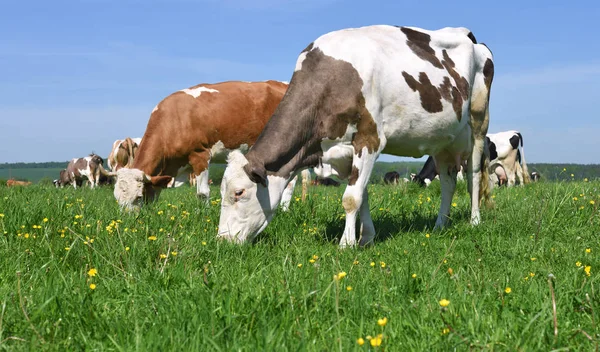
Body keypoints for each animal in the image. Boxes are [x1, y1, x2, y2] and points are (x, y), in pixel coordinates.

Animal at [218, 24, 494, 248]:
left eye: (239, 192)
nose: (222, 240)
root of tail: (468, 35)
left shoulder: (369, 139)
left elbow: (351, 198)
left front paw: (346, 245)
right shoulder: (342, 152)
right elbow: (362, 196)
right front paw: (366, 238)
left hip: (478, 123)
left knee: (473, 175)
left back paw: (475, 221)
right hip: (443, 140)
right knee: (448, 182)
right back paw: (439, 225)